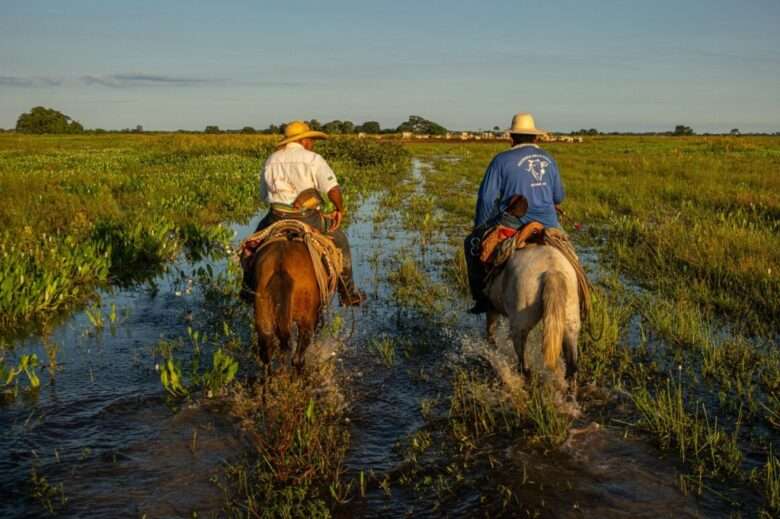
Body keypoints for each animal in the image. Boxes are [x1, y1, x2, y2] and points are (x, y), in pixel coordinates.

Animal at [484, 244, 580, 386]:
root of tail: (551, 270)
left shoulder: (491, 307)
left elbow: (490, 331)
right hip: (570, 324)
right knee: (572, 368)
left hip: (520, 327)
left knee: (523, 363)